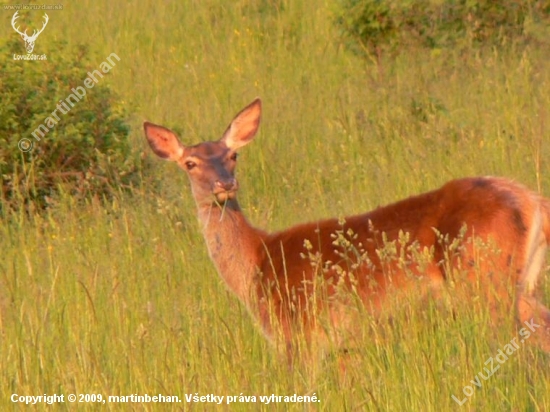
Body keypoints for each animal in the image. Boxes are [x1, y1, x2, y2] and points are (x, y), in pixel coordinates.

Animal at [144, 98, 550, 358]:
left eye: (233, 155)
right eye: (191, 163)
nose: (224, 184)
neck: (257, 262)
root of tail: (531, 201)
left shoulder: (300, 335)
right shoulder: (343, 344)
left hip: (483, 279)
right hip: (517, 285)